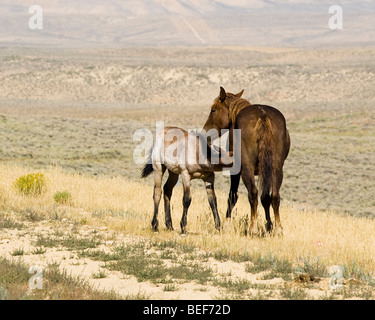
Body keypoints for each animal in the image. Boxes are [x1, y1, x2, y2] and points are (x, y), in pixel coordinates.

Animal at [204, 87, 292, 235]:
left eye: (213, 109)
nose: (205, 132)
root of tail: (263, 116)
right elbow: (265, 198)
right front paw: (269, 225)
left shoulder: (236, 171)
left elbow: (232, 197)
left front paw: (226, 224)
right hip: (276, 169)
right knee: (274, 196)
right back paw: (278, 229)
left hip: (247, 169)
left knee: (253, 194)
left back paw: (252, 228)